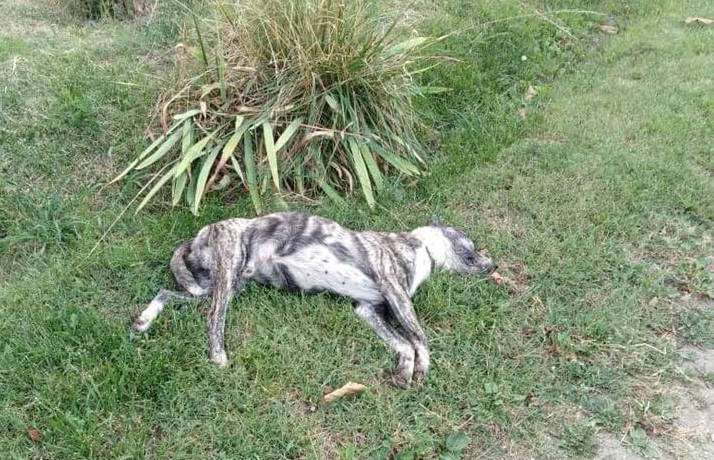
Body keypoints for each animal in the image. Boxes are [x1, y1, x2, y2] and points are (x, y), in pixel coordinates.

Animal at [131, 212, 496, 387]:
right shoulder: (395, 293)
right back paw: (218, 356)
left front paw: (405, 371)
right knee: (213, 319)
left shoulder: (368, 309)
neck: (419, 249)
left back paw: (144, 320)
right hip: (227, 272)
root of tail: (198, 235)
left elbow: (402, 343)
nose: (494, 266)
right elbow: (419, 338)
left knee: (167, 293)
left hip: (213, 287)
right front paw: (422, 367)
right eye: (470, 243)